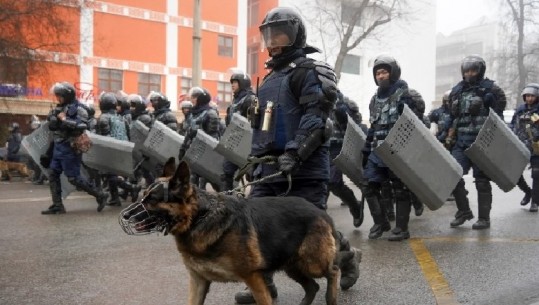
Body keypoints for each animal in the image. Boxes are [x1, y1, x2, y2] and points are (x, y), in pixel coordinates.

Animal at [120, 157, 340, 304]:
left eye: (152, 200)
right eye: (143, 196)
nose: (125, 216)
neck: (199, 218)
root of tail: (320, 212)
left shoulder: (254, 277)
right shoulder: (198, 281)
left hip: (311, 263)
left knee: (333, 272)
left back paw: (332, 296)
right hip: (292, 266)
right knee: (313, 286)